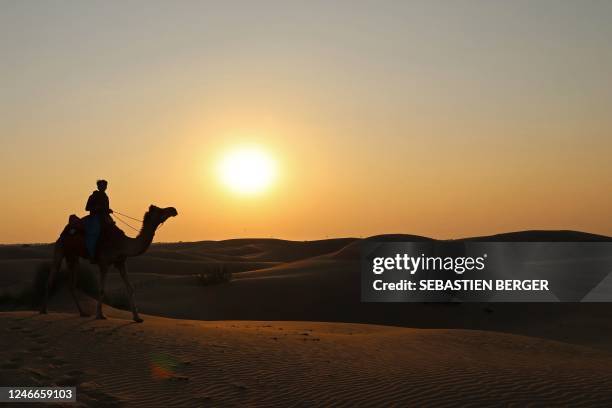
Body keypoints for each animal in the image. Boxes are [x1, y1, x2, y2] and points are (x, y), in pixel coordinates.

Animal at [40, 204, 177, 322]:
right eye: (160, 210)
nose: (173, 210)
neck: (122, 243)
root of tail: (65, 231)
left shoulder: (121, 262)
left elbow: (130, 288)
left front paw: (137, 318)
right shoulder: (104, 263)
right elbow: (101, 289)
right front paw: (100, 315)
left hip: (73, 256)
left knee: (71, 284)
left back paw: (83, 313)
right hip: (60, 248)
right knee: (51, 278)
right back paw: (44, 310)